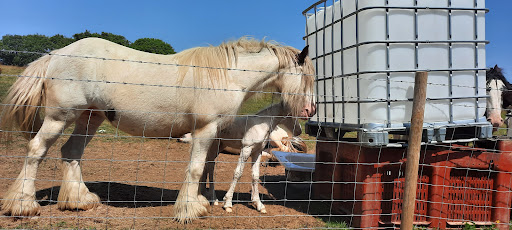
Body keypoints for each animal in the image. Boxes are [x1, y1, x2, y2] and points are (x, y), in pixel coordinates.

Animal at [0, 37, 316, 223]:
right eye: (307, 78)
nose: (310, 111)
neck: (226, 75)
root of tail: (54, 54)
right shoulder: (205, 130)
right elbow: (196, 168)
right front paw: (191, 209)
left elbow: (203, 168)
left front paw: (201, 201)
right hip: (58, 117)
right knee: (36, 151)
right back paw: (23, 205)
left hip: (89, 118)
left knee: (71, 152)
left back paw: (79, 201)